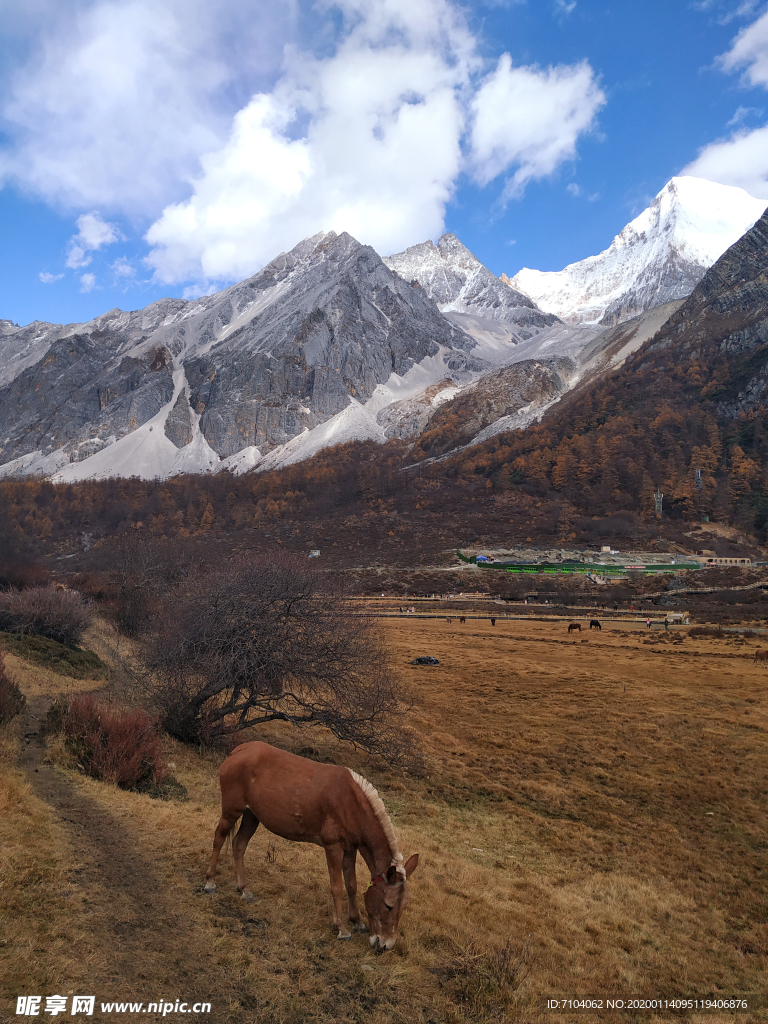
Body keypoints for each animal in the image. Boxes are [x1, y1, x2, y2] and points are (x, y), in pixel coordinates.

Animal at [204, 741, 421, 946]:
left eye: (403, 906)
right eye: (388, 906)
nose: (385, 945)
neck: (351, 804)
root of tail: (238, 750)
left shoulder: (350, 849)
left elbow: (351, 885)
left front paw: (357, 921)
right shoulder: (333, 847)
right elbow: (337, 887)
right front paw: (342, 928)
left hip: (252, 815)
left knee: (239, 845)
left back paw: (244, 889)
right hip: (232, 810)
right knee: (219, 839)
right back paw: (210, 881)